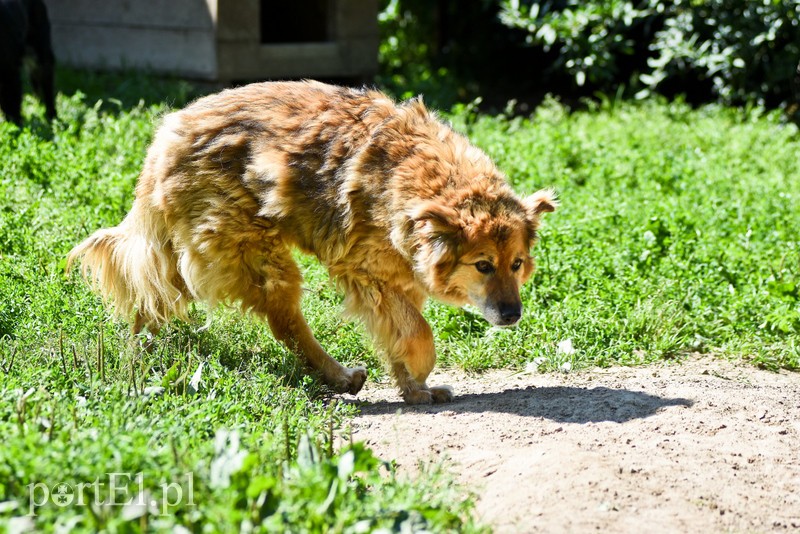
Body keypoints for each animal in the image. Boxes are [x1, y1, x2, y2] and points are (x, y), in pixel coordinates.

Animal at [67, 81, 556, 404]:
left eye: (516, 264)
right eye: (482, 265)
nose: (512, 315)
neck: (413, 179)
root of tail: (168, 133)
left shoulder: (399, 279)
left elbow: (401, 331)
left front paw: (414, 388)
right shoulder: (366, 274)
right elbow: (419, 333)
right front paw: (420, 372)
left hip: (203, 254)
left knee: (153, 294)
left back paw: (142, 352)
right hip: (258, 257)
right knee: (285, 324)